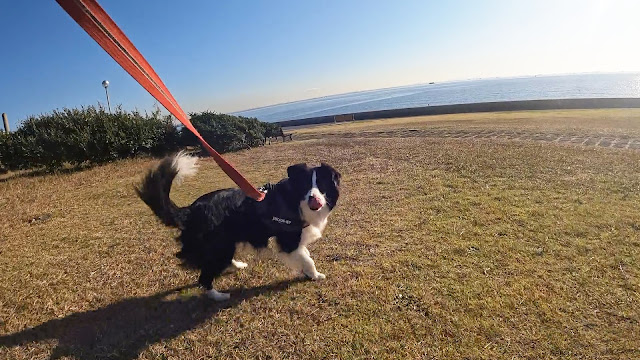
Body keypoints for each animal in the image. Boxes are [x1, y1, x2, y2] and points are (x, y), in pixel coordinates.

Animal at [135, 152, 340, 300]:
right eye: (305, 186)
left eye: (321, 185)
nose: (314, 198)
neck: (294, 200)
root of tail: (190, 210)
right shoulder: (288, 240)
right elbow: (307, 258)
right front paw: (315, 275)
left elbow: (305, 255)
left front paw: (309, 274)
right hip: (219, 246)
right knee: (204, 277)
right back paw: (219, 296)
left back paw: (236, 265)